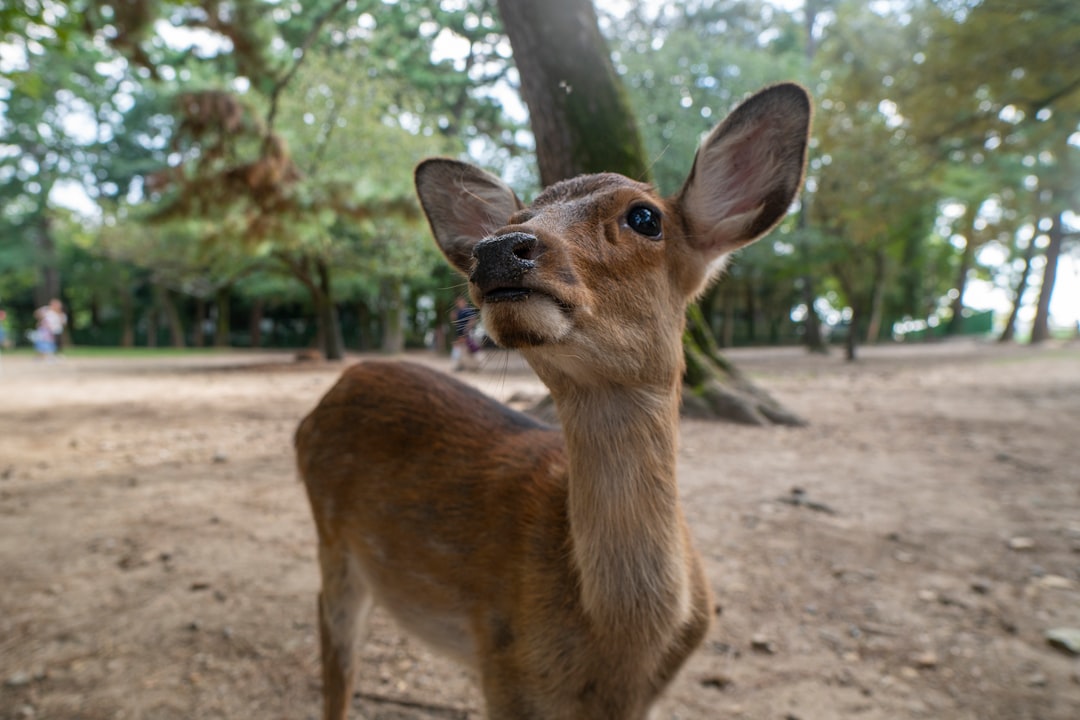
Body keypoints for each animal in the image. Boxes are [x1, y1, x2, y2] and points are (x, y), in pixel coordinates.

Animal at [295, 81, 812, 716]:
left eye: (645, 216)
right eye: (519, 217)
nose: (497, 249)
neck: (622, 639)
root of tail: (333, 390)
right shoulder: (503, 668)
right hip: (333, 542)